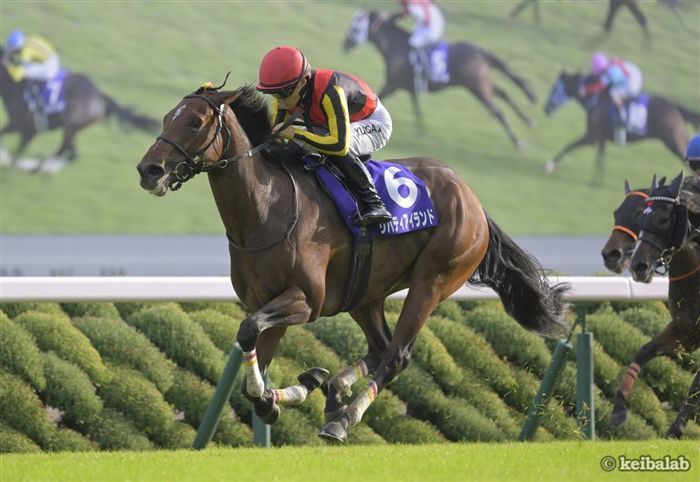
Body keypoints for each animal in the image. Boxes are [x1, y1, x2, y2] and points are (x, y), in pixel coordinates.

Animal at [0, 45, 158, 172]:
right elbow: (7, 139)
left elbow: (16, 153)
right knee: (65, 150)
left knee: (71, 154)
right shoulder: (17, 126)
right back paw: (40, 168)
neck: (16, 87)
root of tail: (100, 96)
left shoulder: (27, 130)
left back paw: (42, 169)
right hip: (71, 129)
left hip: (71, 127)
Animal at [136, 82, 569, 443]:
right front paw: (290, 391)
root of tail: (473, 200)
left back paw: (343, 420)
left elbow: (248, 331)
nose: (149, 170)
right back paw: (333, 390)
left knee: (396, 356)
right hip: (365, 292)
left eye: (195, 121)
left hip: (433, 280)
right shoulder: (269, 301)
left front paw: (277, 395)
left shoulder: (306, 300)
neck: (266, 206)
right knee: (379, 346)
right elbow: (251, 360)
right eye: (167, 117)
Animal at [343, 10, 537, 149]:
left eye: (355, 28)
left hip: (477, 87)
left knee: (498, 111)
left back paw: (518, 142)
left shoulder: (393, 84)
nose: (344, 44)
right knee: (504, 94)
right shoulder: (409, 87)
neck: (396, 46)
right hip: (483, 83)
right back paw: (527, 120)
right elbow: (417, 109)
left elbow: (378, 101)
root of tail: (482, 52)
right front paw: (422, 132)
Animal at [543, 71, 700, 182]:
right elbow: (600, 159)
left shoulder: (593, 137)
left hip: (674, 140)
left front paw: (549, 166)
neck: (595, 99)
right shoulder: (602, 138)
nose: (546, 109)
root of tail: (676, 107)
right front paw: (597, 182)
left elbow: (570, 146)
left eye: (554, 89)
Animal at [606, 173, 700, 437]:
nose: (639, 266)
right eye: (616, 213)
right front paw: (619, 409)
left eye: (664, 218)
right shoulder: (685, 331)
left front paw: (677, 427)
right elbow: (644, 351)